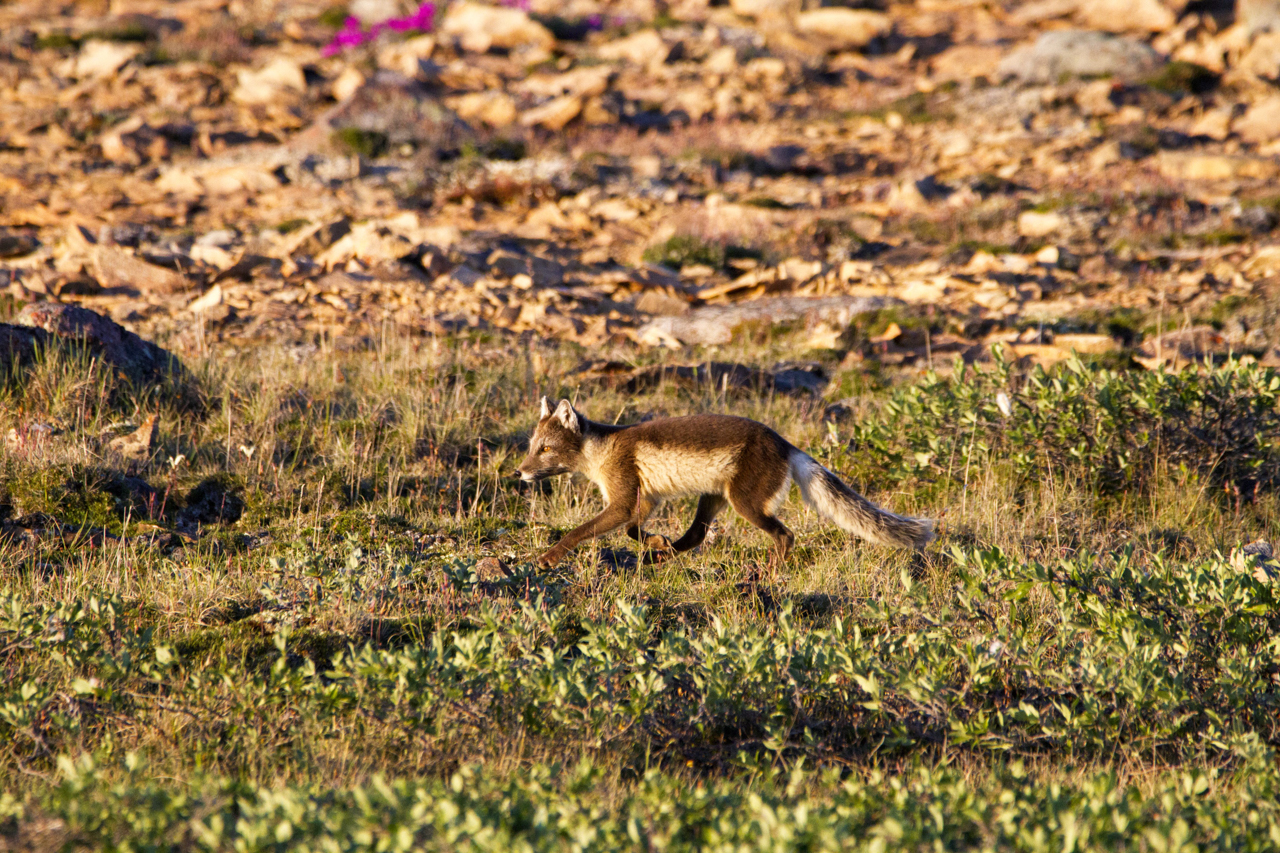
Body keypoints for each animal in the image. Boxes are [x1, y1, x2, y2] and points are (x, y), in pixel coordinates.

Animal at [516, 397, 934, 568]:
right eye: (532, 446)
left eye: (546, 448)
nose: (519, 472)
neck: (602, 451)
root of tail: (786, 444)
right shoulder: (644, 499)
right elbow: (633, 530)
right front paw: (655, 541)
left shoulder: (622, 498)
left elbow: (580, 531)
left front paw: (548, 558)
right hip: (713, 499)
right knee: (696, 536)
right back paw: (663, 553)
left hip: (745, 503)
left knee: (785, 535)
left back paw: (770, 573)